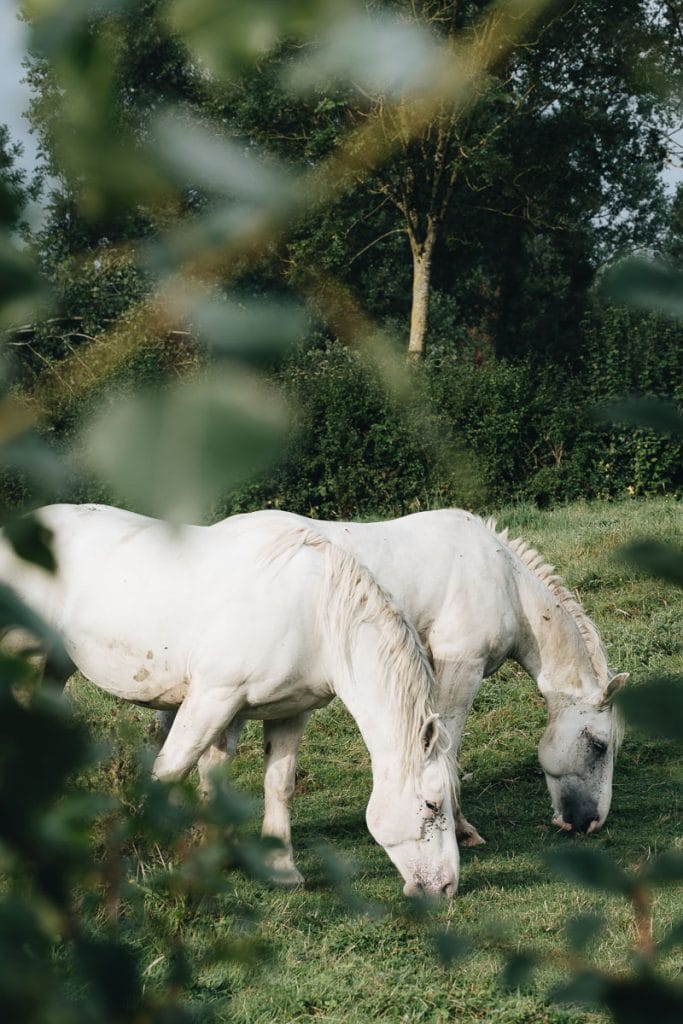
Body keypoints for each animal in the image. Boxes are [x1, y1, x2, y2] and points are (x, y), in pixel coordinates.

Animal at [0, 503, 460, 897]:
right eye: (432, 804)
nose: (446, 888)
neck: (315, 615)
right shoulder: (212, 698)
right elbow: (171, 770)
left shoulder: (287, 711)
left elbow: (272, 784)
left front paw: (276, 868)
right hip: (26, 657)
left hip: (56, 666)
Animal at [189, 508, 627, 847]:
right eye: (599, 745)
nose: (590, 823)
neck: (504, 578)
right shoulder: (461, 668)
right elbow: (450, 747)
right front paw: (462, 829)